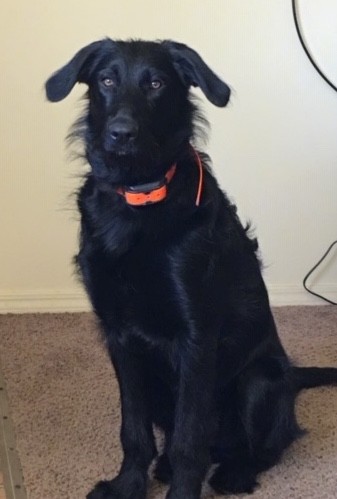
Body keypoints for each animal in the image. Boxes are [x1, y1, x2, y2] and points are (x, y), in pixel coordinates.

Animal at [46, 40, 336, 499]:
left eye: (157, 84)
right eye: (106, 80)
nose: (122, 133)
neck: (139, 200)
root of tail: (291, 377)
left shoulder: (196, 337)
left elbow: (189, 439)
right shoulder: (119, 335)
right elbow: (134, 430)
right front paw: (128, 485)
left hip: (259, 381)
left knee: (260, 449)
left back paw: (234, 474)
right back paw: (163, 467)